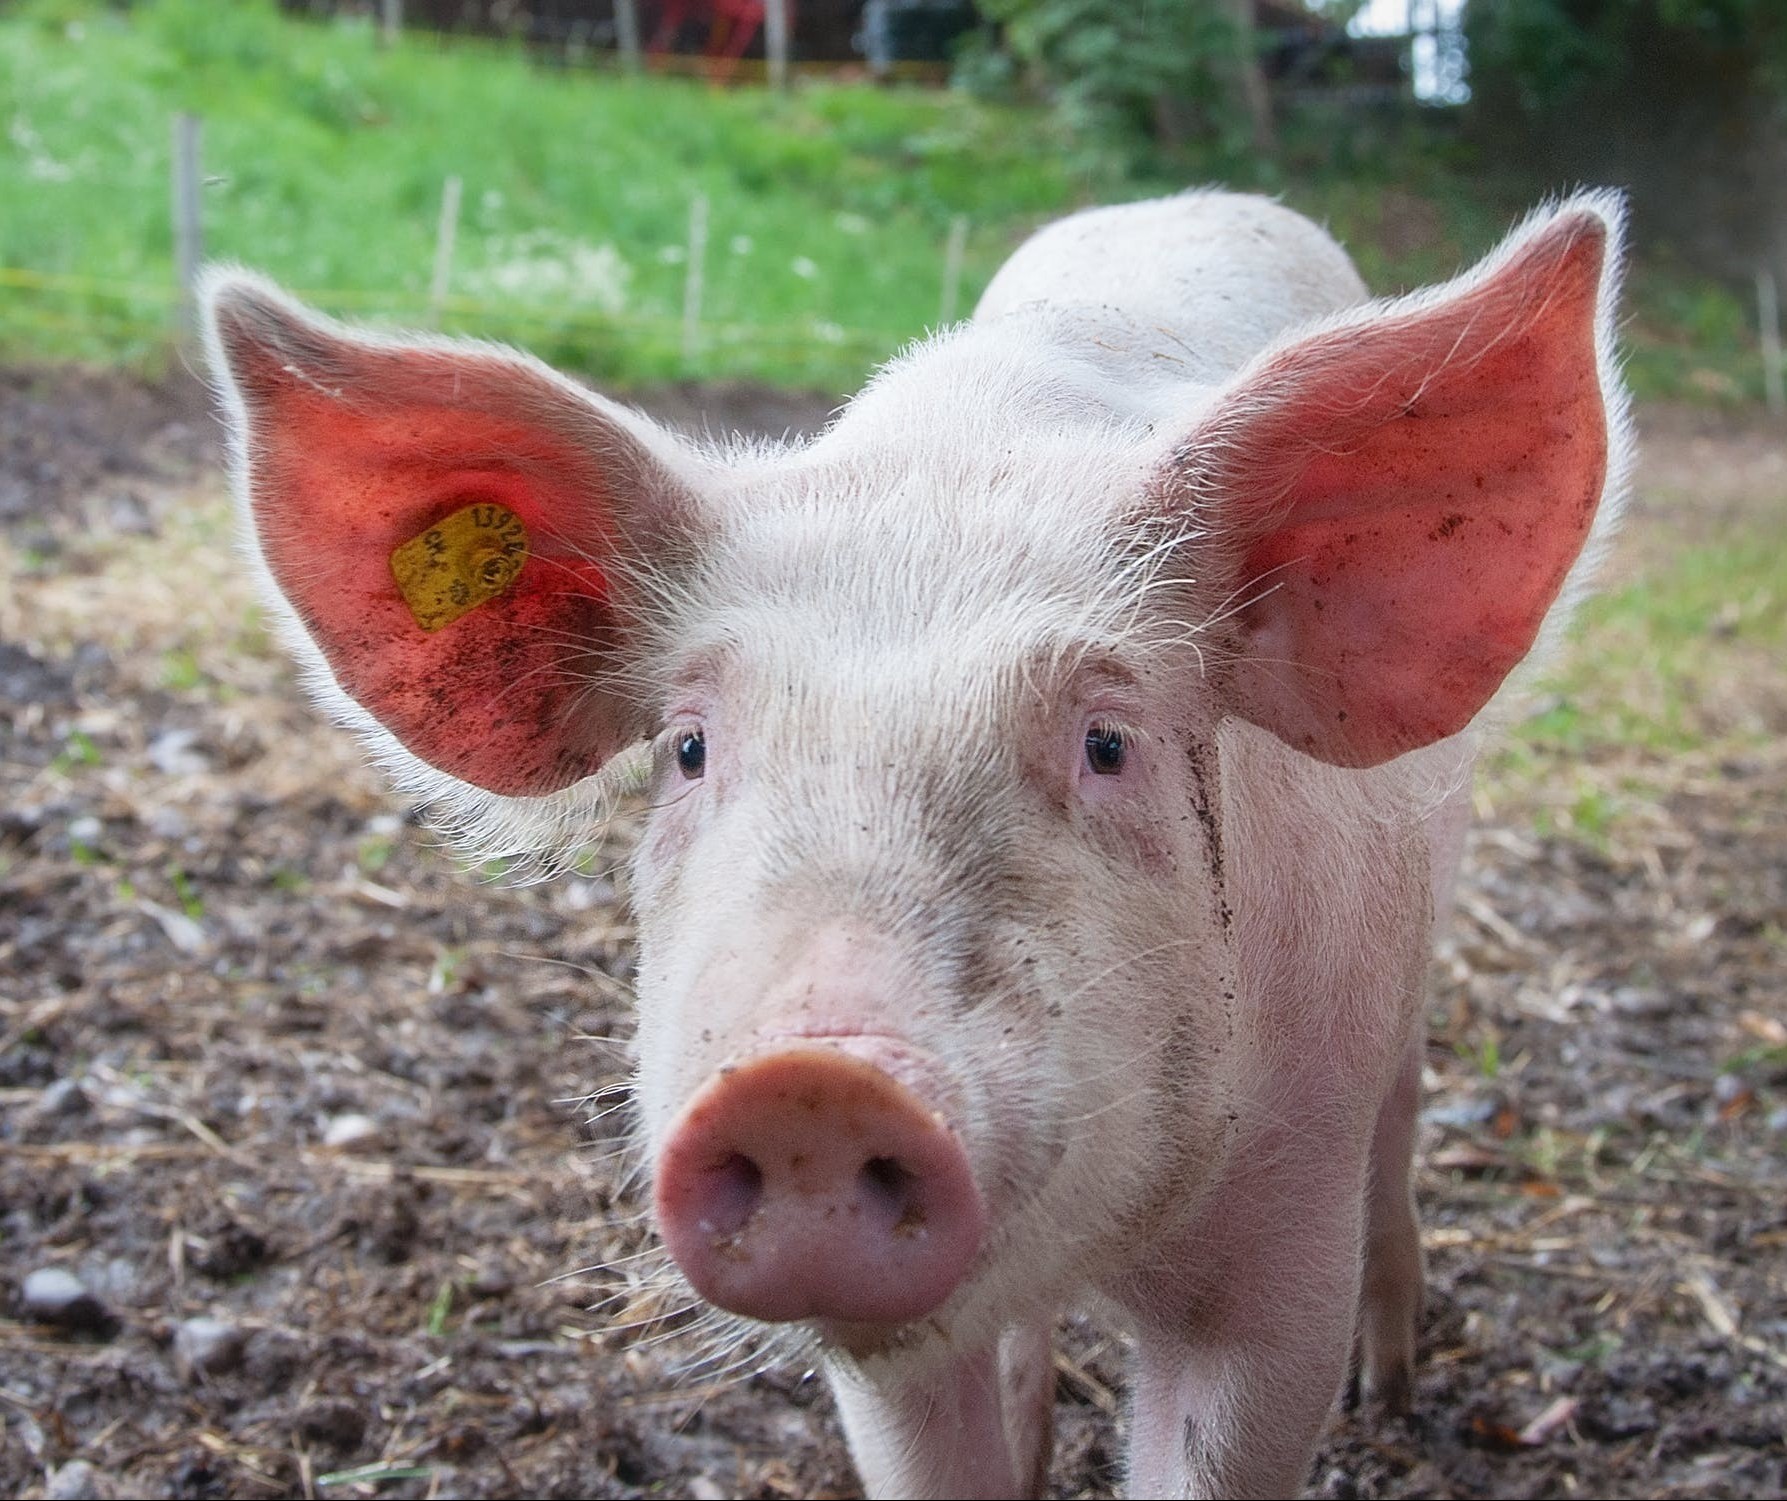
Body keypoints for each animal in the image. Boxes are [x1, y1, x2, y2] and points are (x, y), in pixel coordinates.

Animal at [202, 190, 1629, 1501]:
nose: (811, 1084)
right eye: (688, 748)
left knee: (1401, 1118)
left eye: (1108, 742)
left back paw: (1393, 1388)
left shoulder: (1283, 1240)